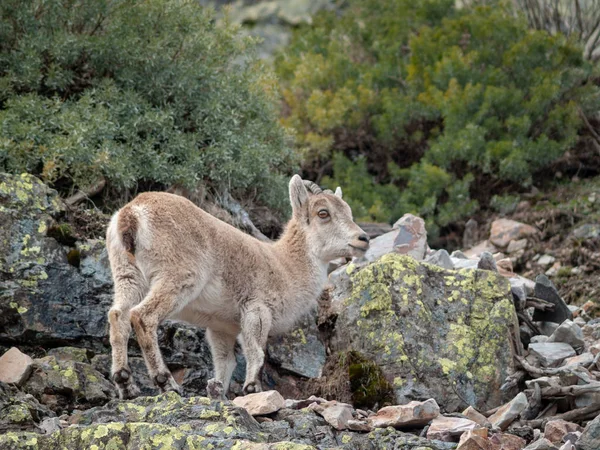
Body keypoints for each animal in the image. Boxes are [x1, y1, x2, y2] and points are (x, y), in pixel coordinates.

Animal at [108, 174, 370, 400]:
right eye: (323, 213)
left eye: (348, 211)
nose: (363, 239)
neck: (287, 267)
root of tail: (132, 213)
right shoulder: (257, 308)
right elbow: (256, 351)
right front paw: (252, 387)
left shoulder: (220, 328)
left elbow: (225, 363)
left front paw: (219, 392)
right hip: (178, 276)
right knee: (143, 316)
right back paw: (166, 382)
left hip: (127, 276)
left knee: (118, 314)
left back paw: (125, 384)